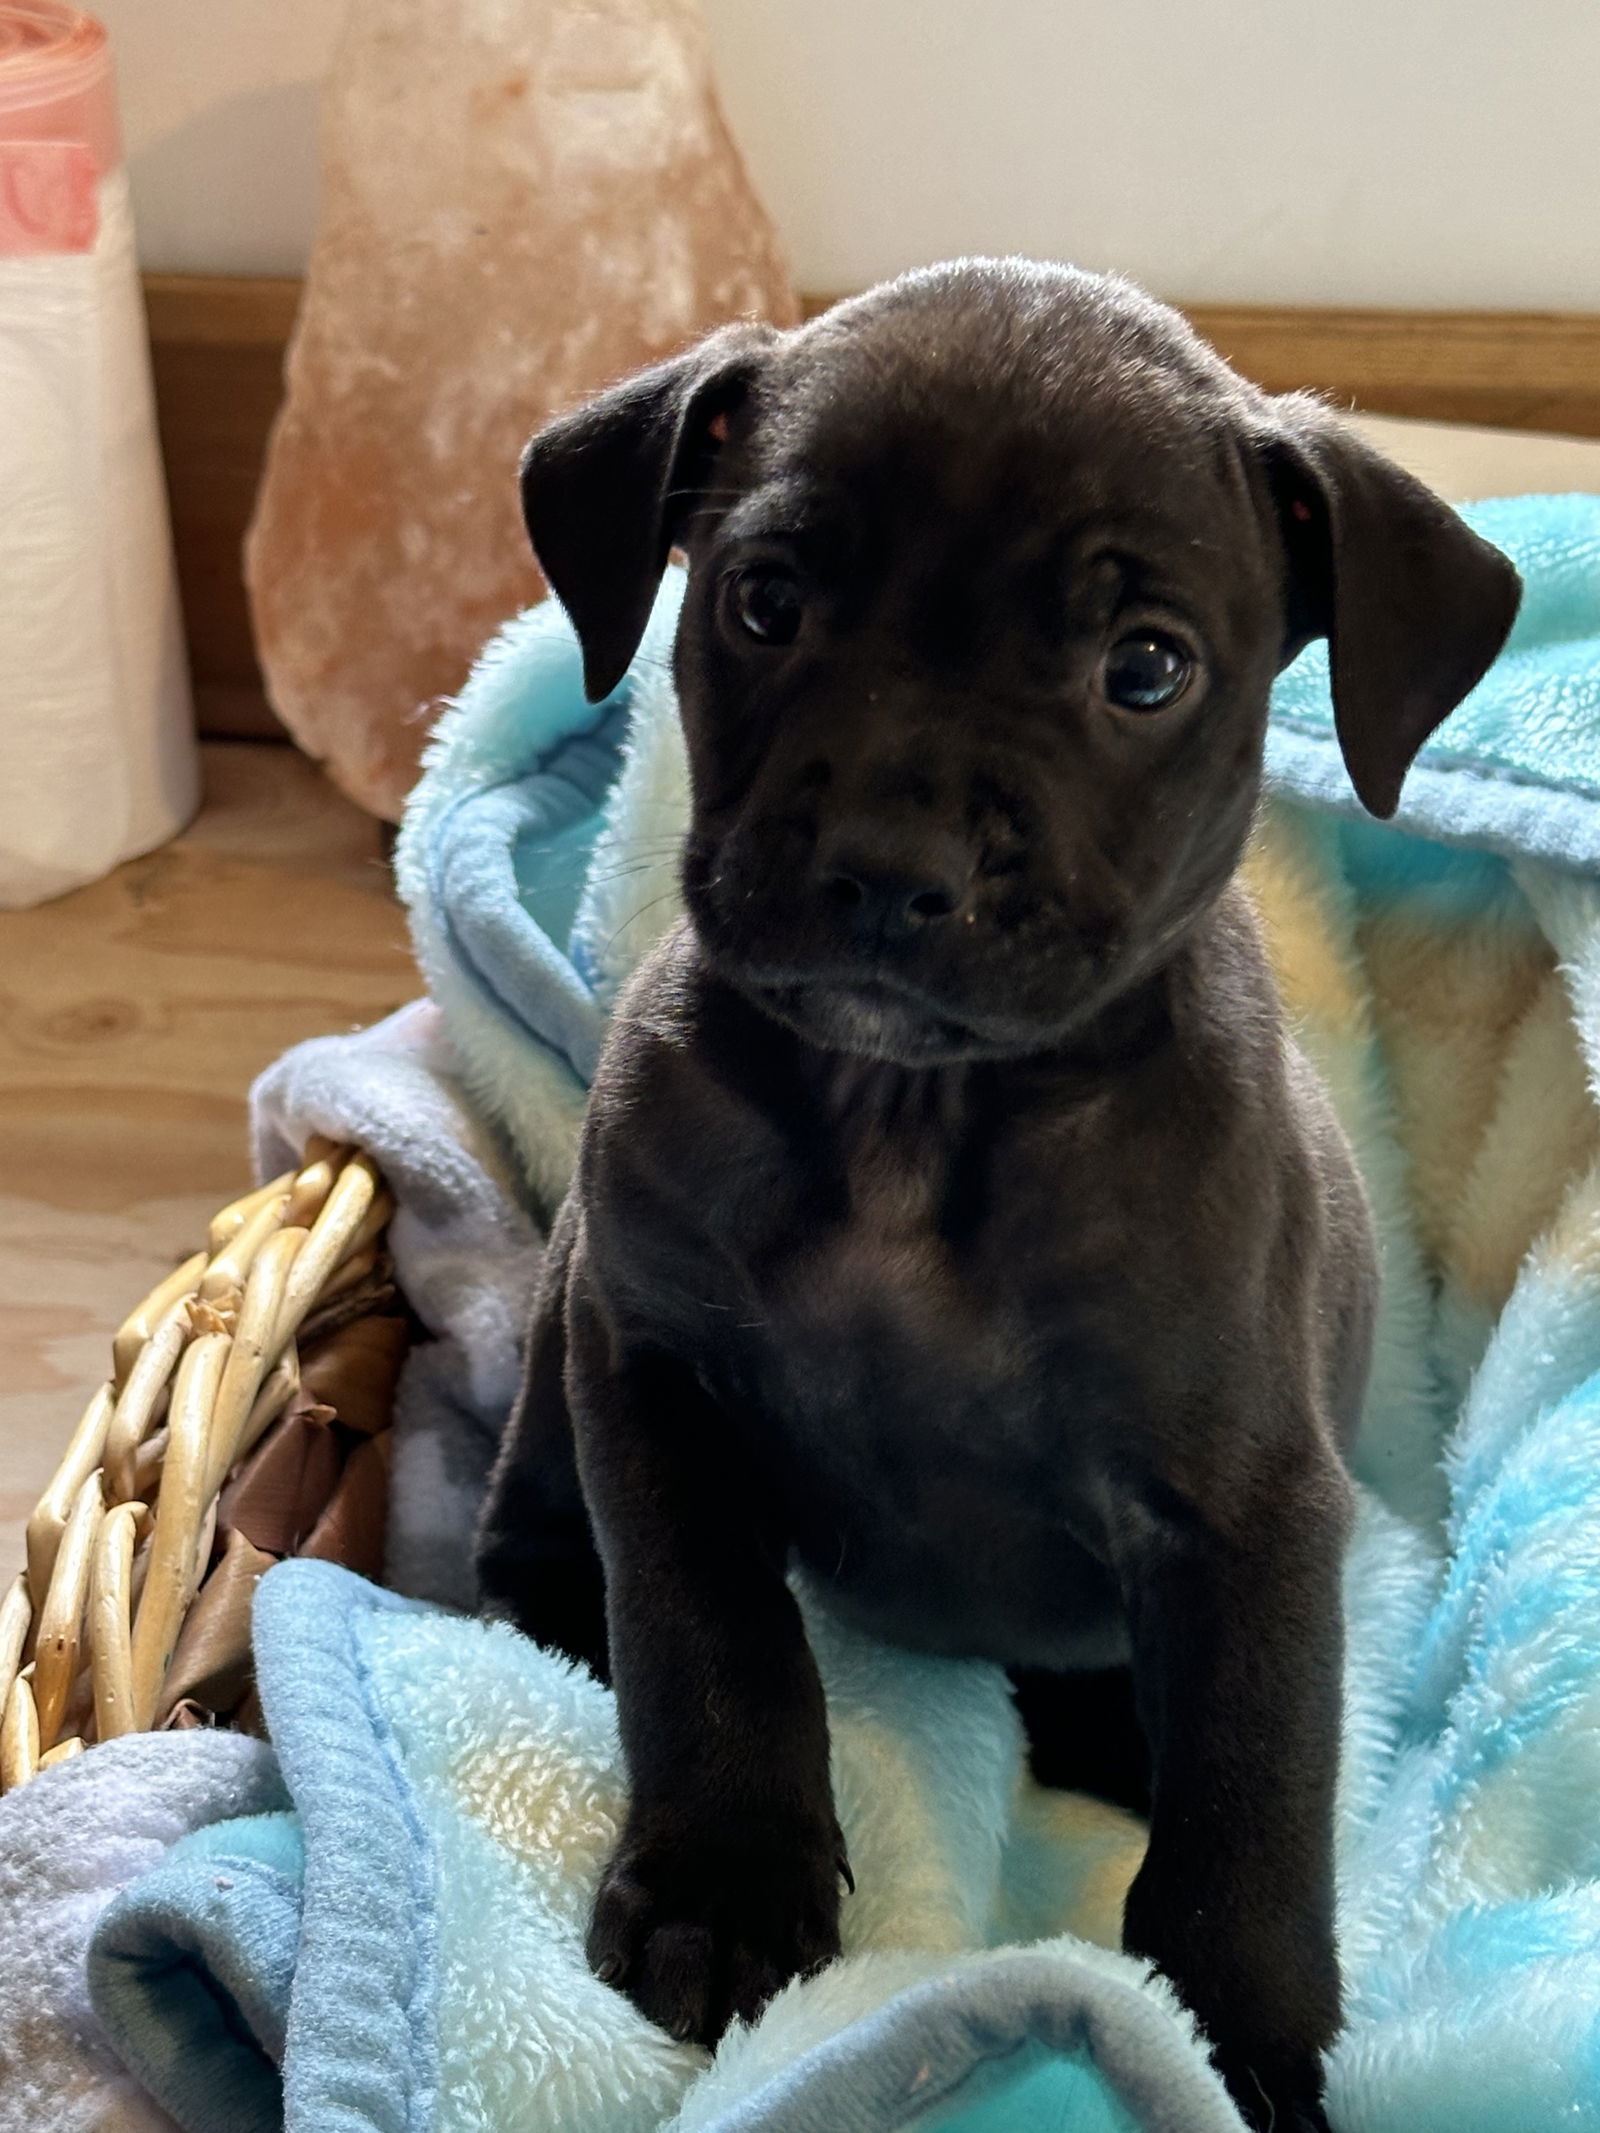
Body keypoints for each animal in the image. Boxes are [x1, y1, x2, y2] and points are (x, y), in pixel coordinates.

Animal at [480, 262, 1527, 2133]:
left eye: (1147, 668)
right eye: (765, 601)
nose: (893, 869)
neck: (916, 1116)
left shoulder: (1246, 1509)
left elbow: (1253, 1795)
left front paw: (1240, 2037)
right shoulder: (649, 1370)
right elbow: (708, 1631)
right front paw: (723, 1880)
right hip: (558, 1331)